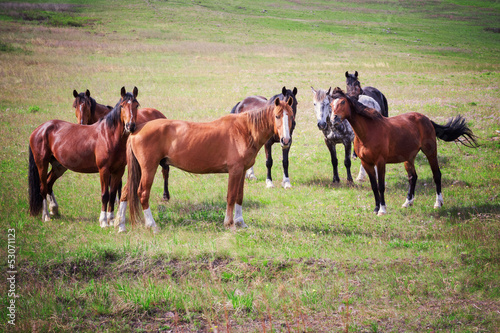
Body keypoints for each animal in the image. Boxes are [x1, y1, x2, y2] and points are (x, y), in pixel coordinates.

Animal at [27, 86, 162, 226]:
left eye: (136, 105)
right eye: (122, 105)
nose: (130, 126)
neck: (109, 136)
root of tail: (39, 130)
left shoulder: (118, 170)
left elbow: (112, 194)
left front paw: (111, 219)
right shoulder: (104, 170)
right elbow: (105, 195)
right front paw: (103, 221)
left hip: (59, 166)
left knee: (48, 183)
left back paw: (54, 210)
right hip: (42, 163)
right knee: (42, 187)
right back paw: (46, 216)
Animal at [116, 96, 296, 231]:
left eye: (292, 116)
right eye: (277, 116)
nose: (286, 141)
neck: (244, 130)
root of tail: (136, 129)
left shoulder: (243, 171)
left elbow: (239, 196)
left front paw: (240, 222)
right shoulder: (235, 171)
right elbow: (231, 196)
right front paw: (229, 223)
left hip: (139, 169)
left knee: (126, 191)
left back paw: (120, 225)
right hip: (149, 168)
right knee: (142, 193)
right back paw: (151, 225)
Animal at [330, 87, 478, 214]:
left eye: (343, 102)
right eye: (331, 104)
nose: (334, 119)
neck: (368, 132)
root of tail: (426, 119)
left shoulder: (380, 162)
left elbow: (381, 186)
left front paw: (382, 210)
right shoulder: (366, 163)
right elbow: (373, 186)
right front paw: (376, 208)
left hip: (430, 152)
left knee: (437, 175)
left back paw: (438, 203)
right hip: (409, 158)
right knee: (413, 177)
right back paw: (408, 202)